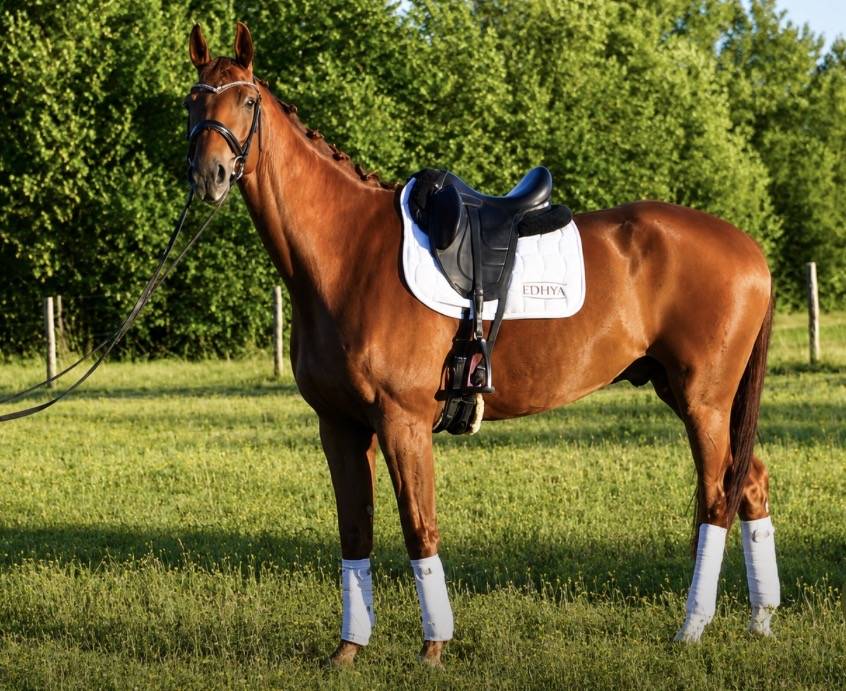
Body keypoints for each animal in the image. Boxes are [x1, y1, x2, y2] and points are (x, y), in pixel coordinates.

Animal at [184, 22, 779, 666]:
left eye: (247, 101)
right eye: (193, 99)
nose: (210, 175)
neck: (347, 254)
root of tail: (749, 250)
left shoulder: (402, 422)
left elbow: (419, 527)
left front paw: (433, 647)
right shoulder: (339, 425)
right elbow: (355, 532)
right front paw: (348, 649)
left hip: (704, 402)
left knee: (717, 497)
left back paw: (693, 626)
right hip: (690, 395)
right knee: (749, 483)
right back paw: (760, 620)